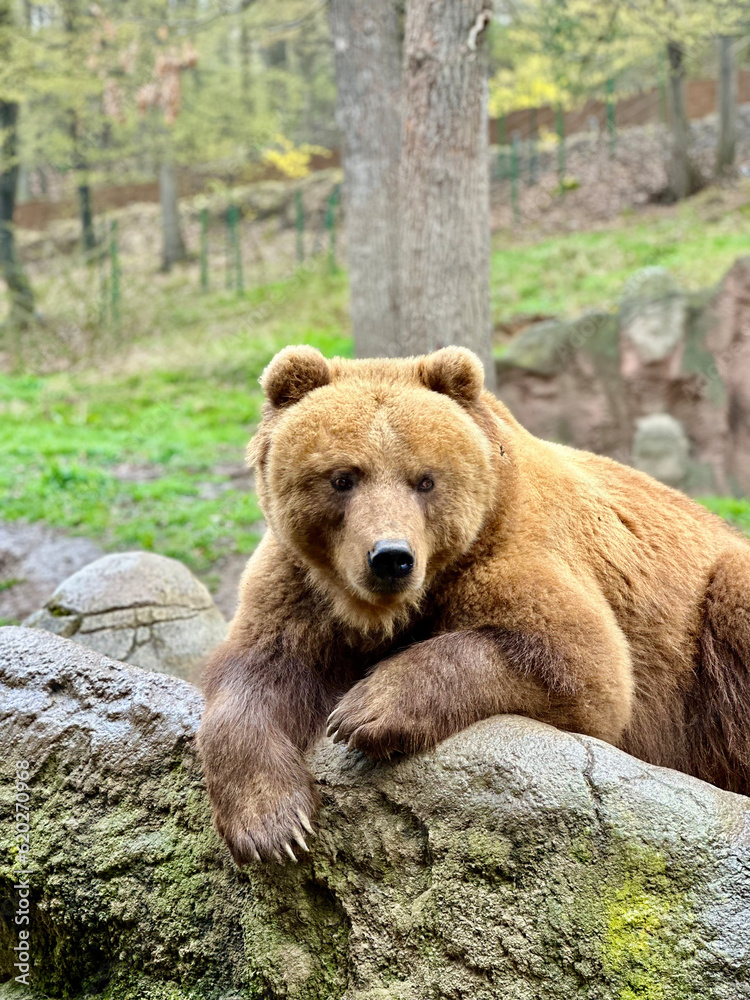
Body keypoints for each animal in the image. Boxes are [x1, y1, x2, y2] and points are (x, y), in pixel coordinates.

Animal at [198, 342, 750, 860]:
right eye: (343, 477)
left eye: (424, 479)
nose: (391, 558)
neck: (385, 610)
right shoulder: (299, 587)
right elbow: (257, 674)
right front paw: (274, 825)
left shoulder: (515, 552)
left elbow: (580, 663)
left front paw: (364, 710)